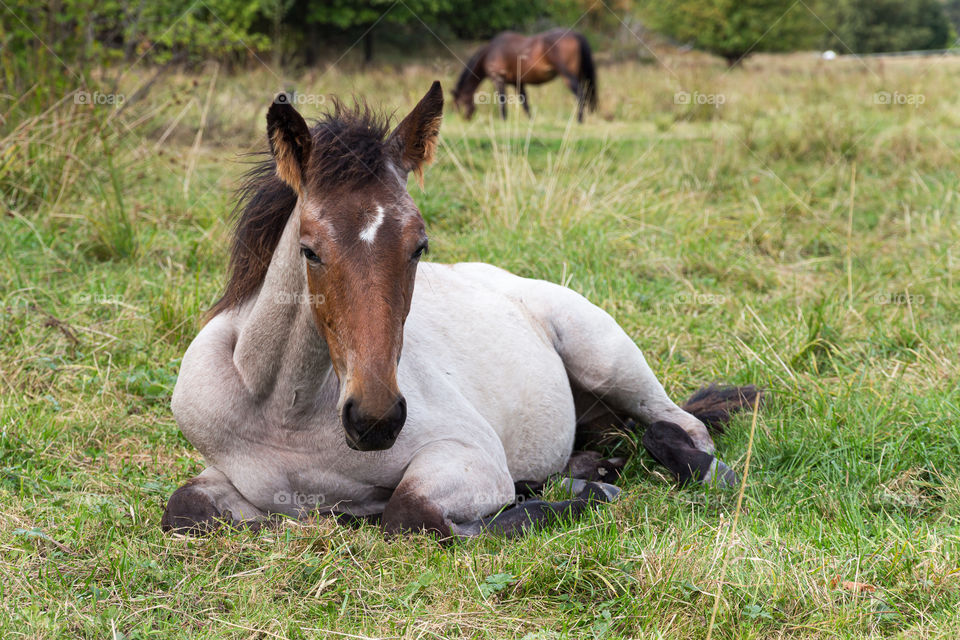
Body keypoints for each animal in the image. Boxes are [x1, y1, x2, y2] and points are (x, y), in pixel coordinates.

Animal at [161, 83, 759, 538]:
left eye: (419, 246)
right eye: (310, 250)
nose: (375, 420)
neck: (286, 415)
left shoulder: (471, 458)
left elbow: (411, 514)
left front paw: (582, 498)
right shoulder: (220, 478)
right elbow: (183, 509)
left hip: (610, 362)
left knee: (679, 428)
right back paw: (591, 468)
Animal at [452, 29, 598, 122]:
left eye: (459, 102)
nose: (463, 119)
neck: (490, 52)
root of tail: (576, 34)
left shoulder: (498, 80)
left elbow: (502, 101)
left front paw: (503, 120)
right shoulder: (518, 83)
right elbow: (525, 102)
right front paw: (530, 120)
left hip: (568, 77)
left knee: (580, 95)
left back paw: (579, 119)